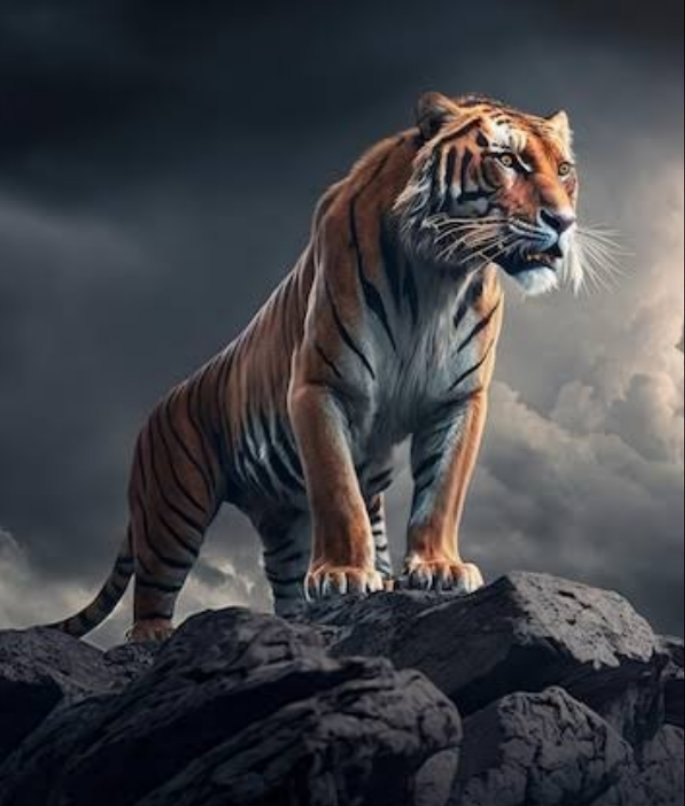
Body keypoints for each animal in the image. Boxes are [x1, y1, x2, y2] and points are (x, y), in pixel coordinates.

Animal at [45, 91, 580, 641]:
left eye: (564, 170)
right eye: (507, 160)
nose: (563, 222)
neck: (437, 274)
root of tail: (156, 411)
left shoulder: (458, 399)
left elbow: (441, 489)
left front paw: (437, 568)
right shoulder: (321, 386)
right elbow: (337, 489)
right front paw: (345, 575)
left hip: (282, 522)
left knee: (287, 584)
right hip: (172, 509)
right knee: (152, 594)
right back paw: (156, 636)